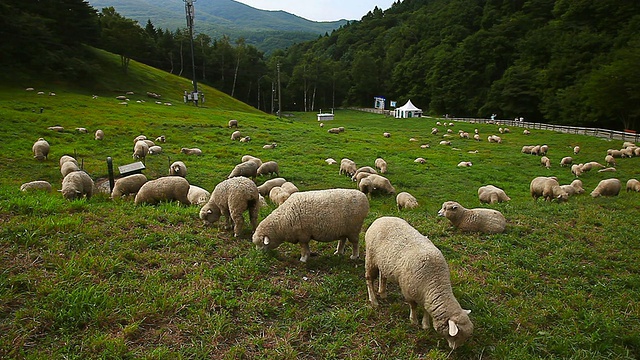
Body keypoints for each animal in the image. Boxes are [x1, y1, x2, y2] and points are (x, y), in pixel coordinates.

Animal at [362, 217, 472, 348]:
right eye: (455, 336)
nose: (454, 349)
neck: (434, 280)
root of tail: (381, 218)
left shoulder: (425, 296)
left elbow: (425, 309)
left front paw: (425, 325)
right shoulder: (408, 291)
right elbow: (413, 306)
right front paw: (413, 321)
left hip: (384, 262)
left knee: (383, 276)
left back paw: (382, 293)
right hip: (371, 257)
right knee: (369, 279)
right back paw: (373, 300)